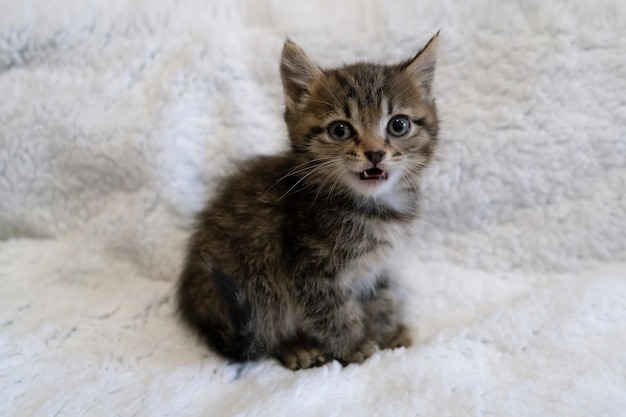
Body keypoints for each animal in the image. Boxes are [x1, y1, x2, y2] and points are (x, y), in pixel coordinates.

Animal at [176, 34, 438, 368]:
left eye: (398, 125)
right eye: (340, 130)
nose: (375, 153)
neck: (374, 207)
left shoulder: (378, 266)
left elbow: (382, 297)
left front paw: (388, 332)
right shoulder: (308, 269)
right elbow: (332, 311)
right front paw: (355, 345)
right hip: (254, 283)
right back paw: (296, 347)